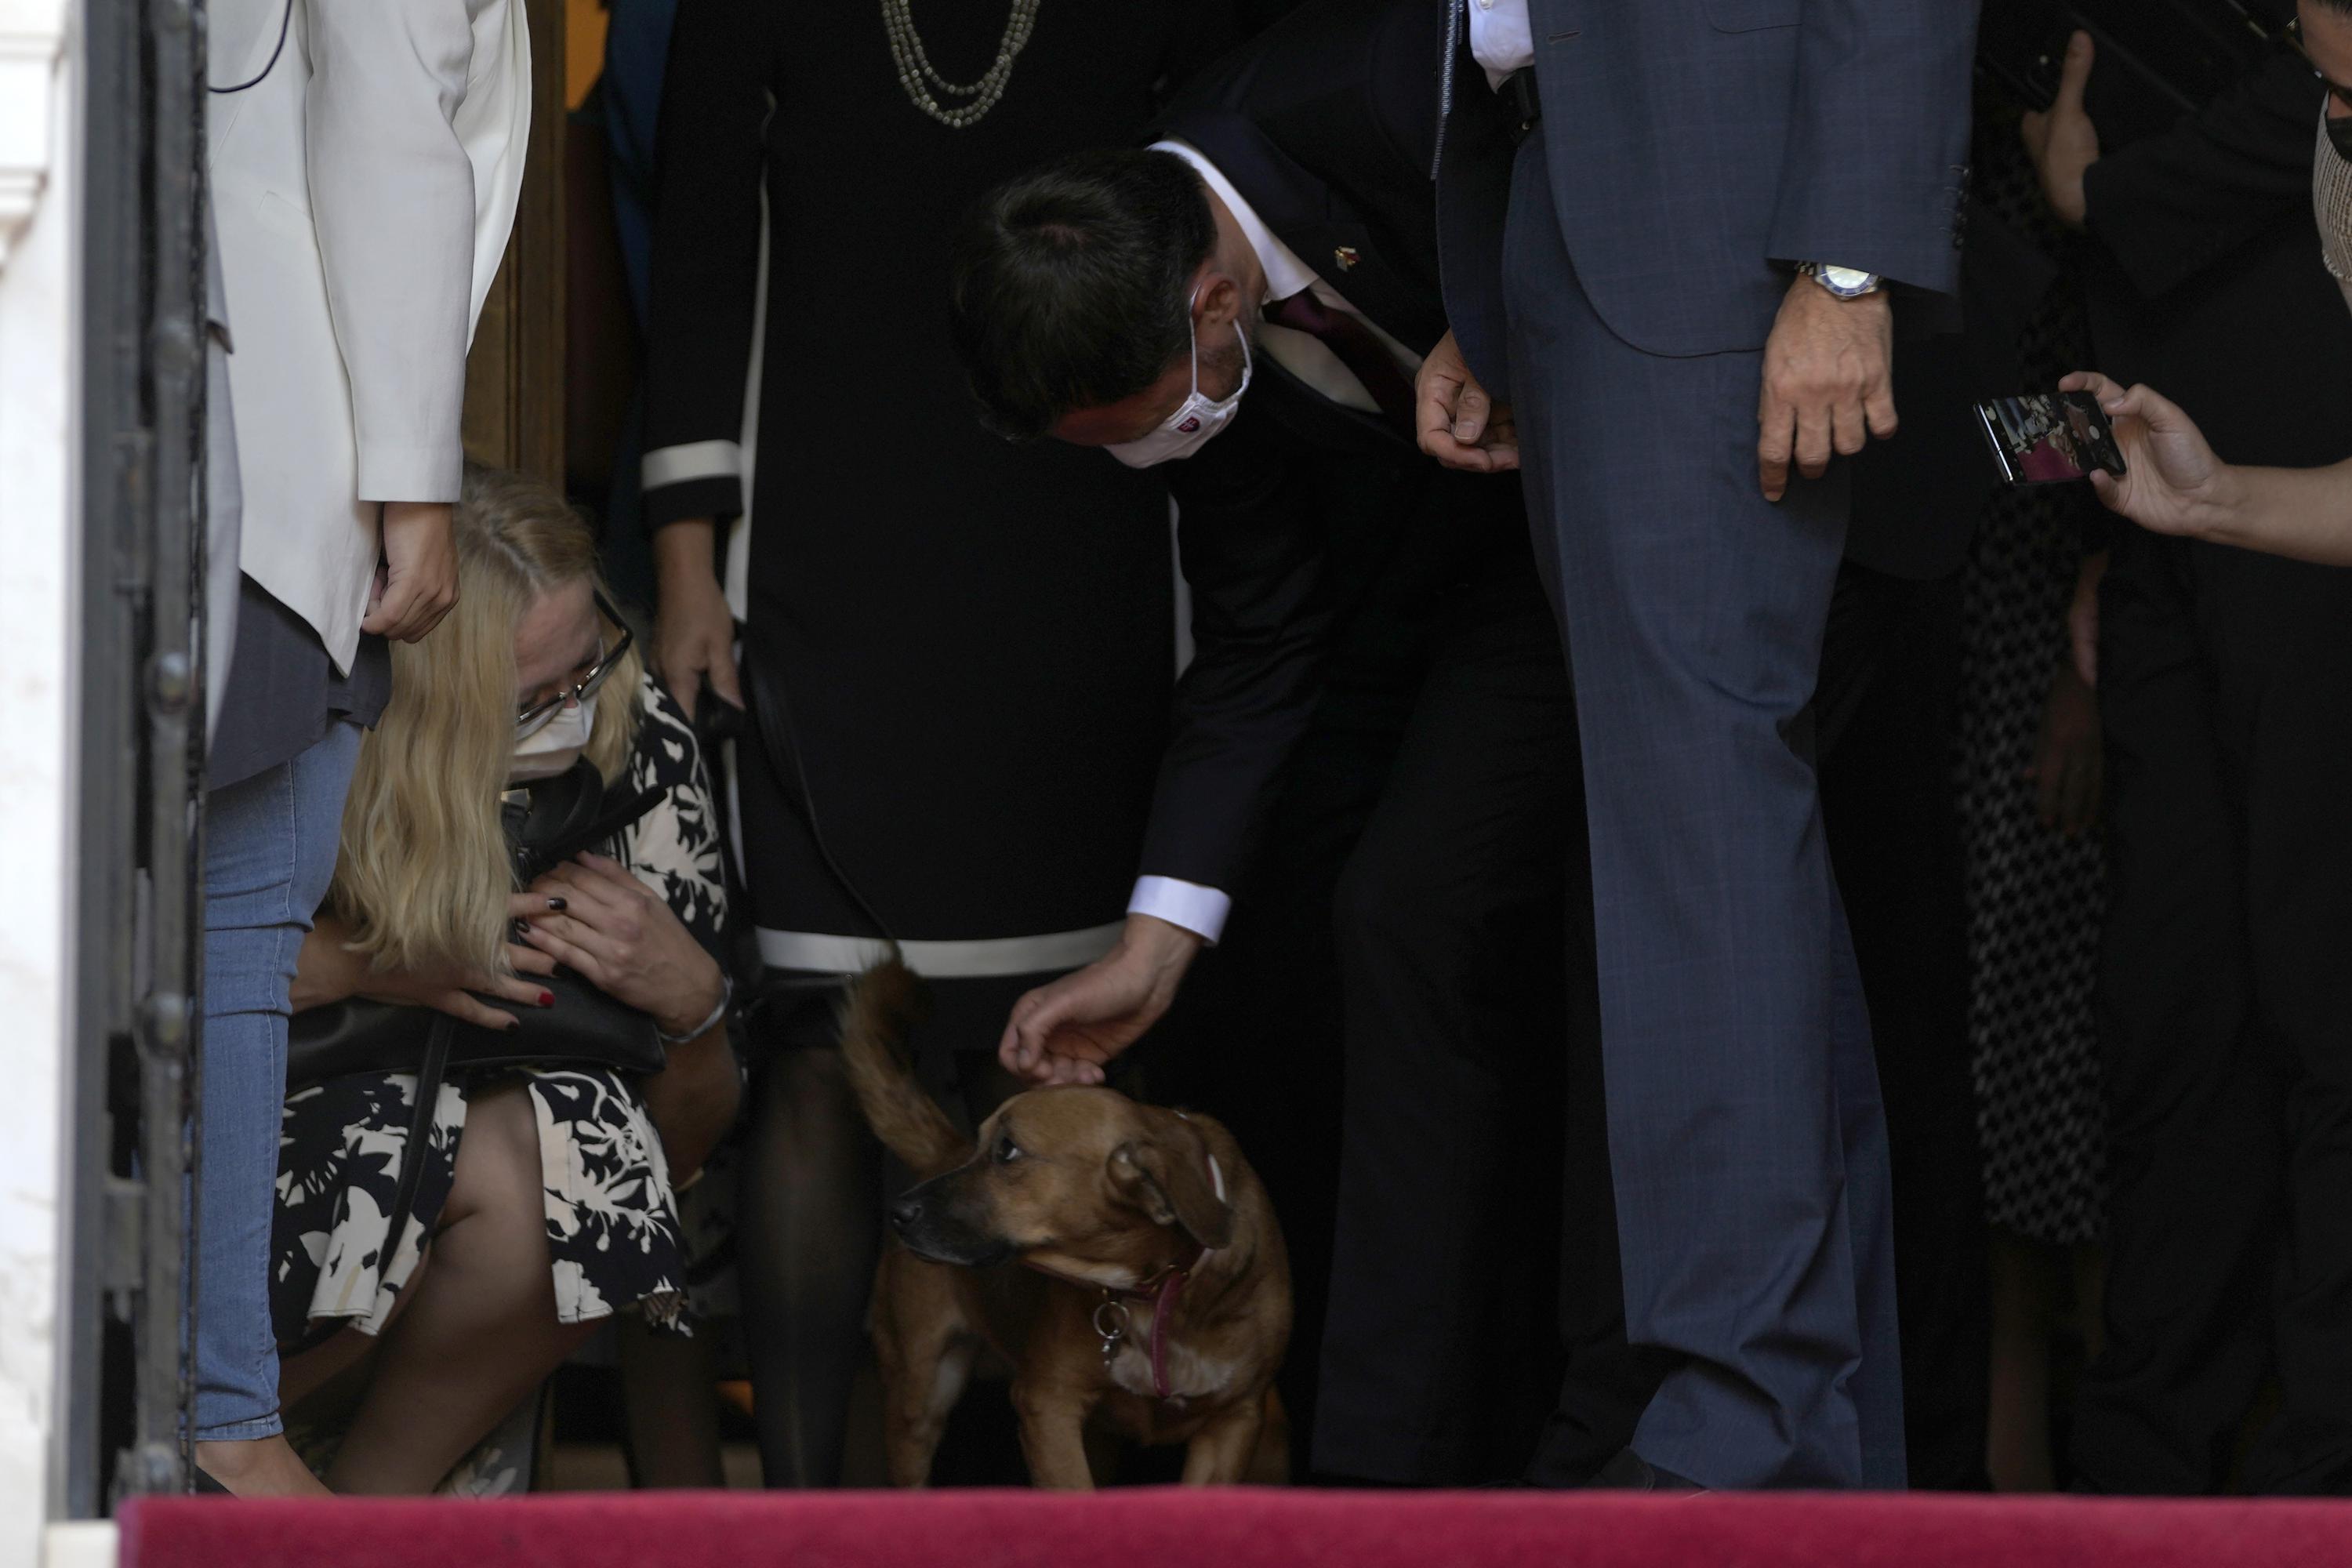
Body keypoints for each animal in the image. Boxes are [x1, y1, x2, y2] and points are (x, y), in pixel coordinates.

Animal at [842, 964, 1298, 1495]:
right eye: (986, 1143)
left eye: (1007, 1150)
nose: (898, 1213)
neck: (1159, 1288)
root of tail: (942, 1154)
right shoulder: (1048, 1407)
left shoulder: (1234, 1422)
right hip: (919, 1400)